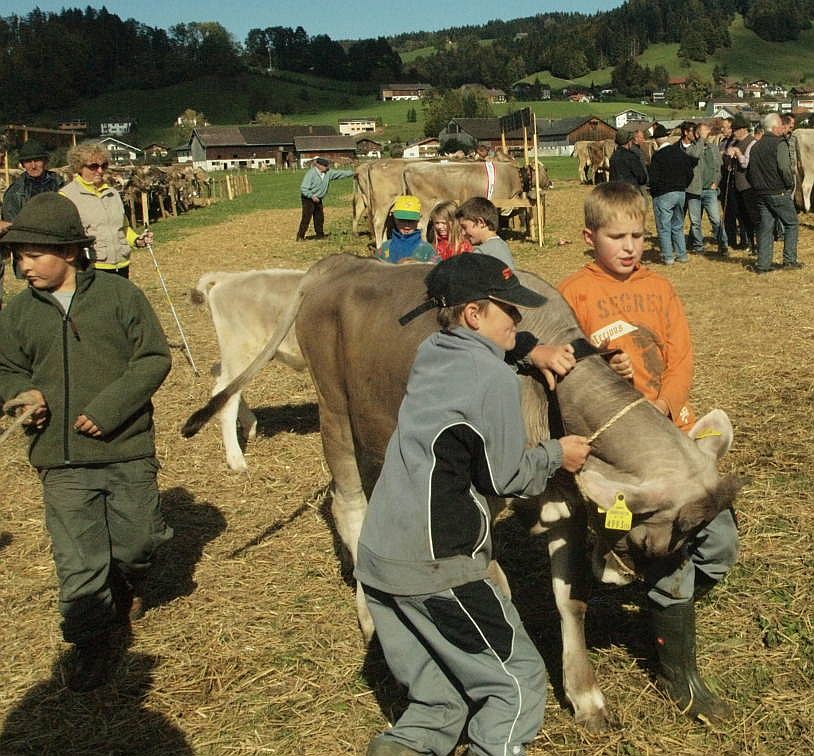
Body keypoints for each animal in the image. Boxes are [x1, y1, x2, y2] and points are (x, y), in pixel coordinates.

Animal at [189, 268, 306, 472]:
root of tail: (228, 278)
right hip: (241, 350)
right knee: (226, 392)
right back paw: (237, 460)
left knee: (223, 378)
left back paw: (249, 425)